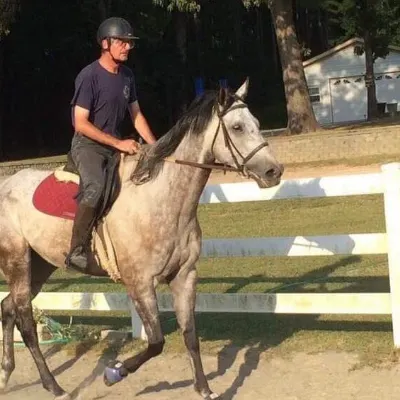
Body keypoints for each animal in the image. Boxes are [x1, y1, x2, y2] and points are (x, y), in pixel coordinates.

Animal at [0, 79, 282, 398]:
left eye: (256, 123)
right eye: (236, 127)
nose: (274, 171)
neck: (162, 200)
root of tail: (6, 184)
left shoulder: (185, 275)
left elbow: (190, 334)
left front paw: (203, 388)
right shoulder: (140, 283)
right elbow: (156, 342)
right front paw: (114, 373)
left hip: (41, 265)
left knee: (7, 307)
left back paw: (7, 374)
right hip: (18, 263)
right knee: (25, 321)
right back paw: (53, 385)